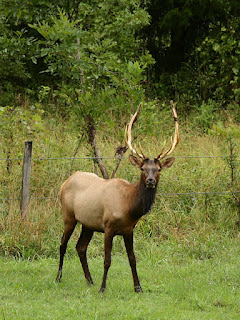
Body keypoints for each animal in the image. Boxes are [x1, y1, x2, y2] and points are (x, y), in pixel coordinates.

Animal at [56, 100, 179, 292]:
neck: (129, 207)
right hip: (68, 215)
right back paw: (59, 277)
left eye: (158, 169)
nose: (150, 180)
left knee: (80, 247)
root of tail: (65, 182)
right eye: (143, 168)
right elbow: (107, 261)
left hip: (88, 224)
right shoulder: (108, 227)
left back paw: (89, 280)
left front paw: (138, 287)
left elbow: (133, 259)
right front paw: (103, 288)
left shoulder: (129, 230)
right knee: (63, 244)